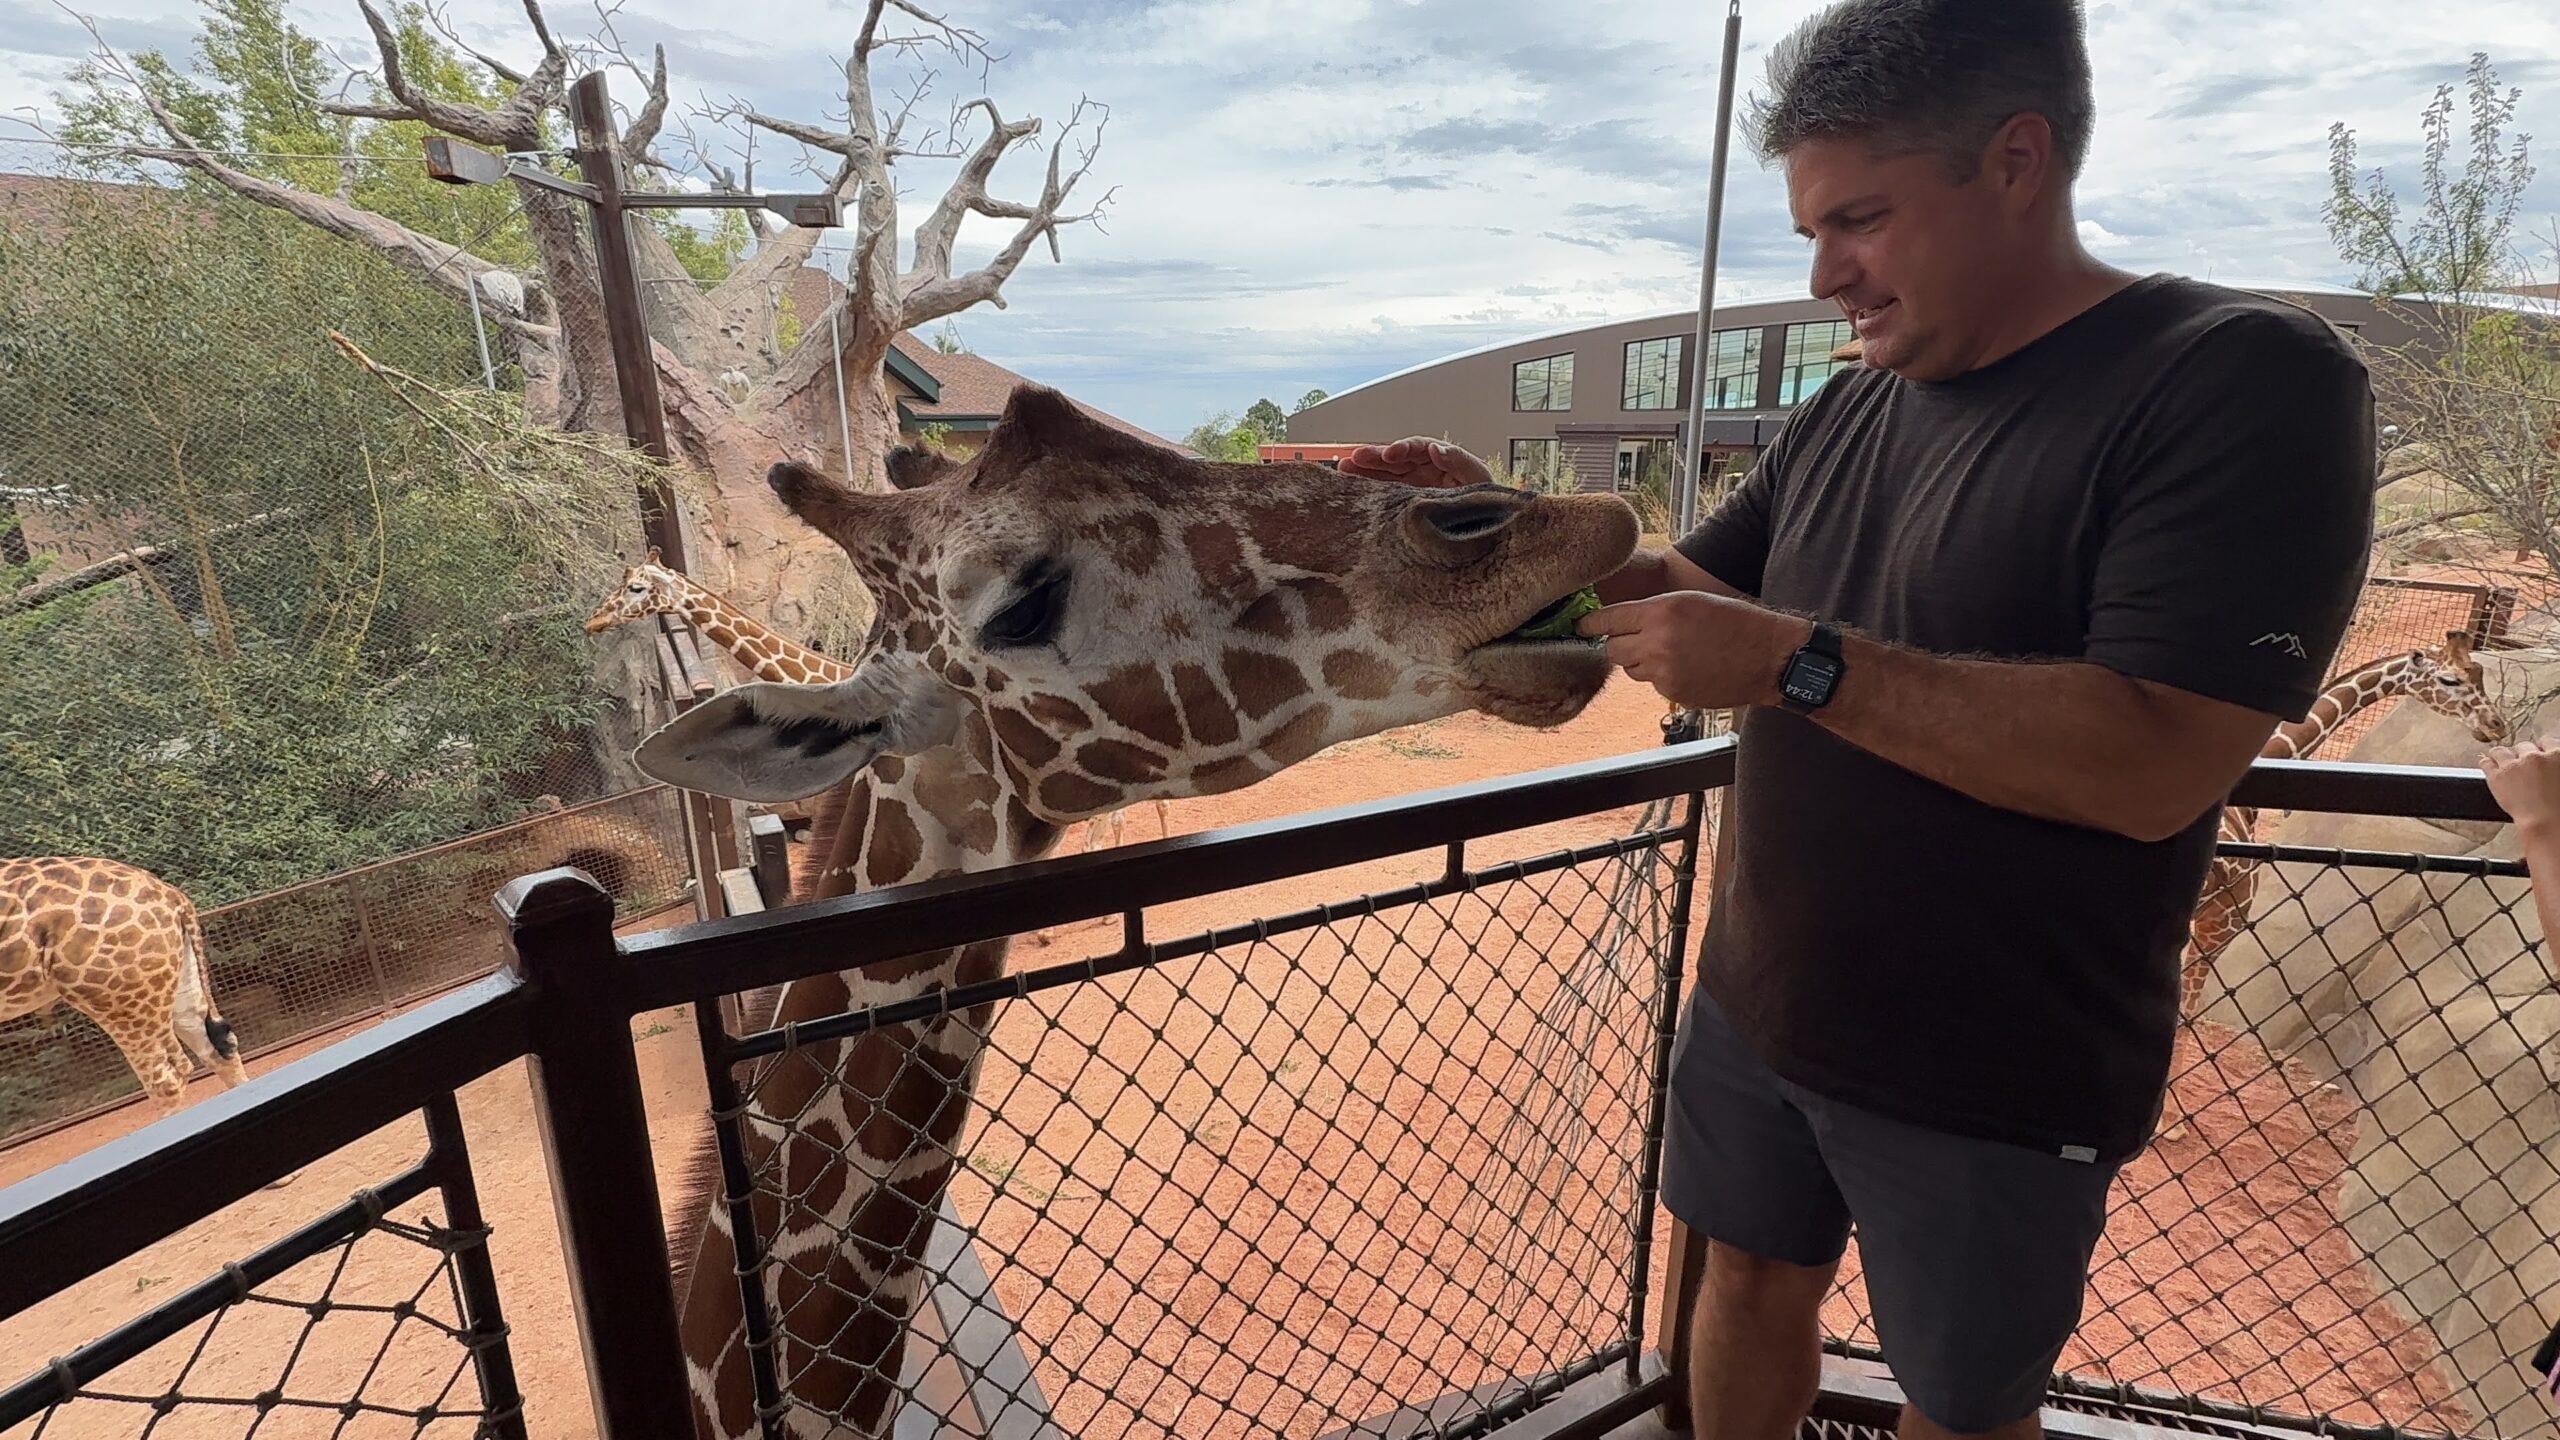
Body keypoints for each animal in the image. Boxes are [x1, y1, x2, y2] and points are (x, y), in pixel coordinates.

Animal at [2160, 629, 2510, 1141]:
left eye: (2480, 674)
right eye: (2451, 679)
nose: (2495, 725)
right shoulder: (2223, 920)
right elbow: (2184, 1013)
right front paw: (2170, 1124)